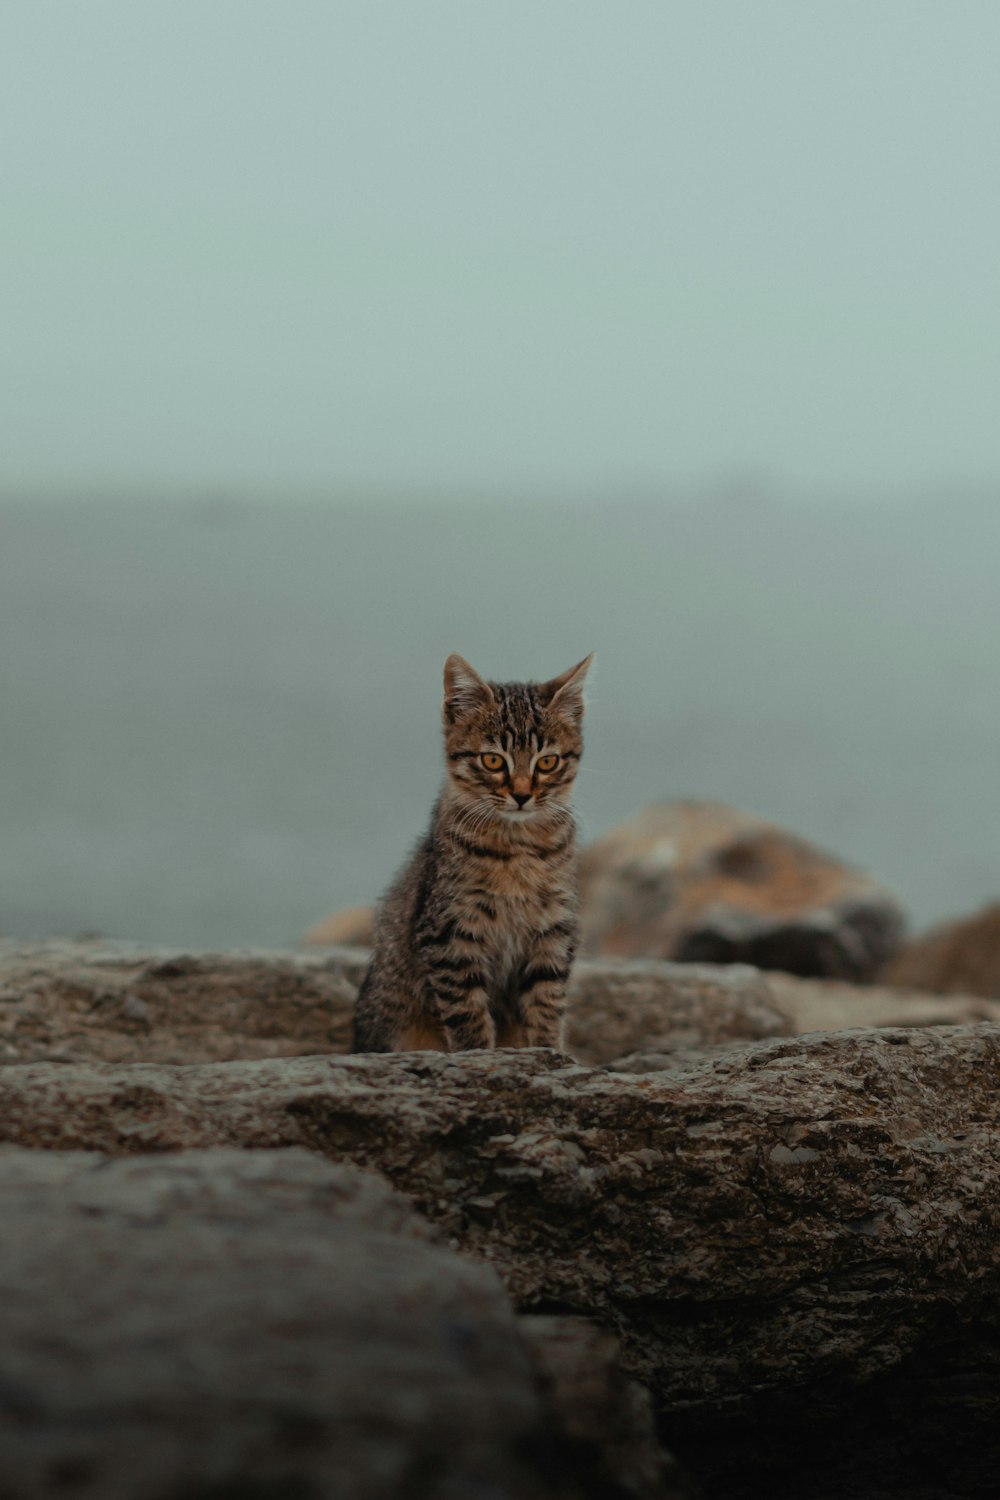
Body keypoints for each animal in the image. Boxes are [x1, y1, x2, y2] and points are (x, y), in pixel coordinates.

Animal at [350, 657, 590, 1056]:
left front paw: (548, 1051)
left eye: (547, 763)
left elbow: (547, 1003)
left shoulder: (553, 930)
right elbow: (467, 1011)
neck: (517, 848)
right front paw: (478, 1054)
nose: (522, 795)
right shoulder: (449, 932)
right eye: (493, 760)